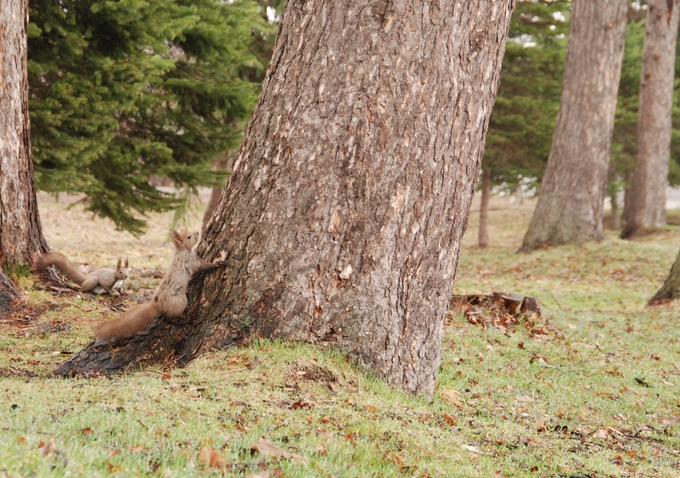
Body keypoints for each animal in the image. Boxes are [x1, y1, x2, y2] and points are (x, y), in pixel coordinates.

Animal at [93, 231, 224, 340]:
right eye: (189, 237)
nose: (197, 232)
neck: (182, 251)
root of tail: (158, 305)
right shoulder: (192, 262)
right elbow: (204, 266)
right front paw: (218, 263)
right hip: (180, 301)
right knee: (168, 316)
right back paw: (177, 320)